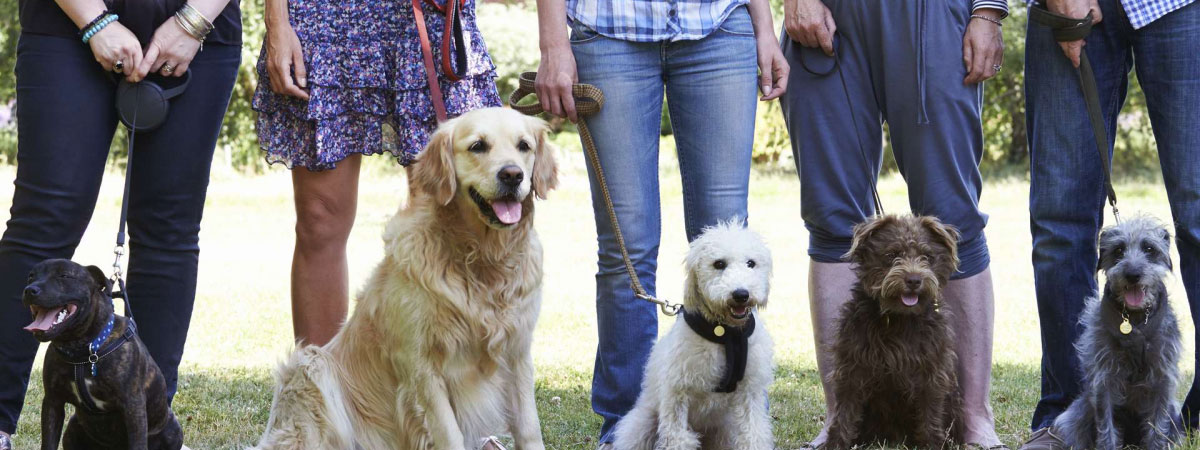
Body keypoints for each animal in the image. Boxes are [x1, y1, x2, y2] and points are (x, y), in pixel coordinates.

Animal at [22, 260, 180, 450]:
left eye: (64, 275)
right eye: (31, 276)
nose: (30, 289)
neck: (83, 350)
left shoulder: (133, 407)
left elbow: (138, 443)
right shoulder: (53, 402)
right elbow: (48, 442)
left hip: (172, 429)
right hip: (72, 428)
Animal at [614, 224, 772, 450]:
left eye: (751, 263)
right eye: (719, 263)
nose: (741, 294)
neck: (725, 334)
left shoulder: (750, 391)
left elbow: (753, 435)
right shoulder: (677, 392)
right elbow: (678, 438)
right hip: (641, 424)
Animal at [1056, 217, 1176, 448]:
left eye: (1149, 248)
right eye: (1119, 250)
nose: (1133, 274)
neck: (1135, 319)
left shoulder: (1162, 379)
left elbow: (1157, 425)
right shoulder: (1104, 380)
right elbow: (1107, 426)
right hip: (1077, 414)